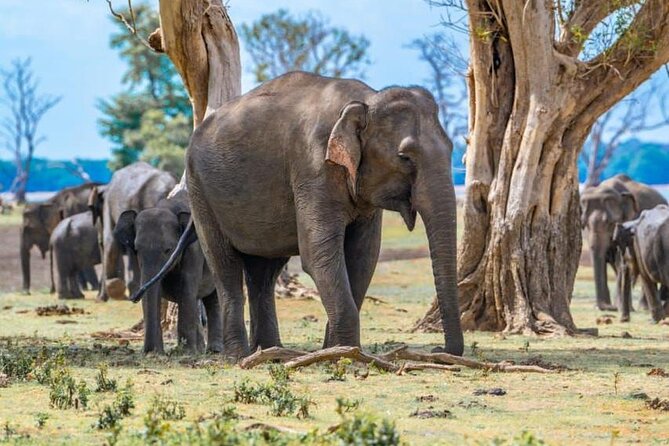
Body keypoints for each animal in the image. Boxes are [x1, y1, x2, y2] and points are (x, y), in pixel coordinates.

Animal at [113, 190, 222, 354]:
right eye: (137, 250)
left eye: (168, 249)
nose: (133, 297)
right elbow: (155, 291)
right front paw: (156, 353)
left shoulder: (194, 250)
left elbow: (186, 290)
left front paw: (186, 352)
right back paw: (202, 348)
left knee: (213, 297)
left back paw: (213, 350)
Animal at [138, 72, 464, 358]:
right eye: (405, 157)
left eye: (452, 148)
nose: (440, 350)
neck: (365, 100)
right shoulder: (313, 166)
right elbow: (318, 253)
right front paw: (344, 352)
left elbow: (363, 256)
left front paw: (335, 349)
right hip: (201, 192)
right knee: (225, 265)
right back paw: (238, 356)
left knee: (263, 272)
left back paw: (269, 351)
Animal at [580, 174, 666, 311]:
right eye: (584, 224)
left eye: (610, 223)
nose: (607, 307)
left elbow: (622, 259)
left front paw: (619, 307)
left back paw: (643, 308)